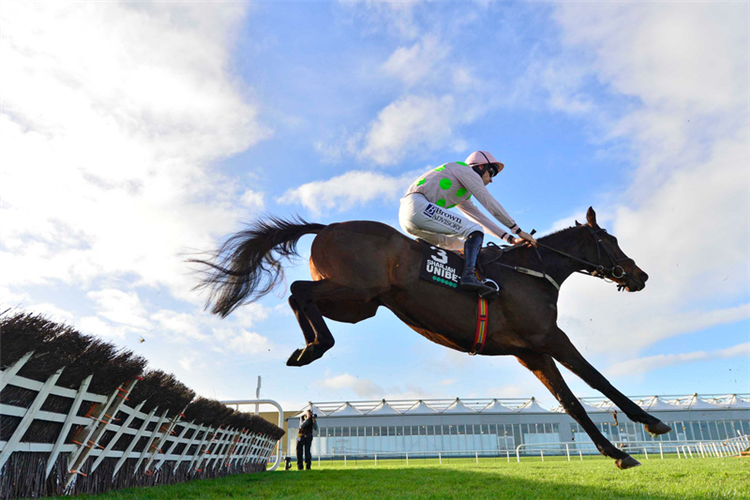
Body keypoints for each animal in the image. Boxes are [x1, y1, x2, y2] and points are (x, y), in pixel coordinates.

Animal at [191, 207, 672, 468]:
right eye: (611, 239)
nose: (641, 275)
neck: (533, 273)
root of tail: (326, 226)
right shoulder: (551, 338)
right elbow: (597, 381)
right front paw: (651, 422)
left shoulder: (531, 353)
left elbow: (571, 403)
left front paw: (618, 452)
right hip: (357, 293)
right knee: (298, 290)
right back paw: (315, 347)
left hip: (359, 306)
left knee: (300, 295)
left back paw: (308, 348)